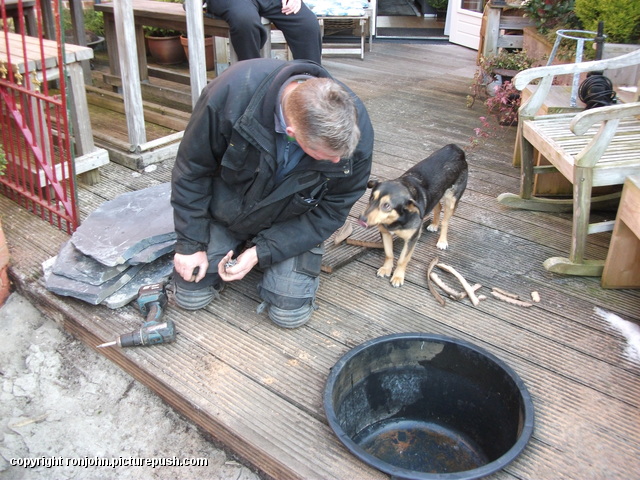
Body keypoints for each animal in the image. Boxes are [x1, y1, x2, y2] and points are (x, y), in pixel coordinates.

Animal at [358, 142, 468, 284]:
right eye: (371, 198)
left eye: (386, 206)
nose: (361, 218)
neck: (397, 219)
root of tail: (455, 148)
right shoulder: (385, 233)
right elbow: (389, 254)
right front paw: (386, 269)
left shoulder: (412, 239)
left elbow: (402, 259)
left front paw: (398, 276)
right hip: (437, 194)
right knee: (438, 206)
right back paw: (434, 224)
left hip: (452, 199)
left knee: (445, 221)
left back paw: (442, 240)